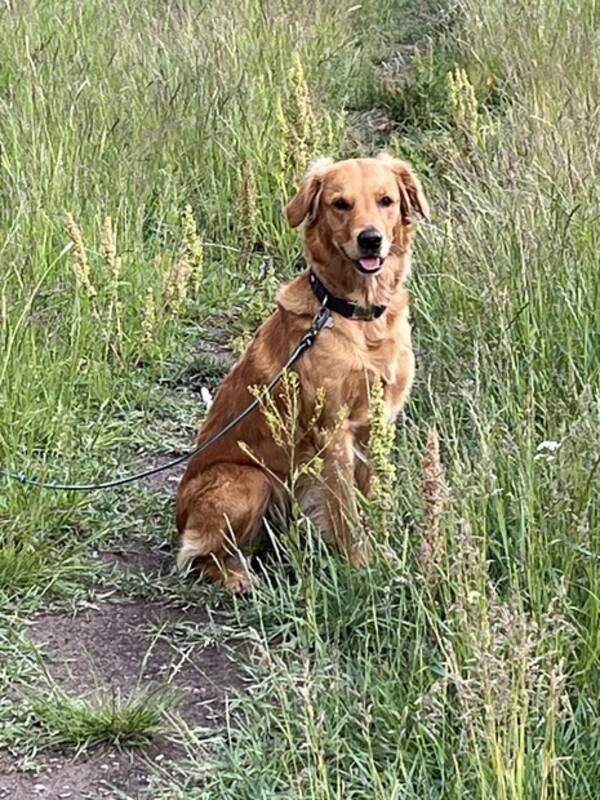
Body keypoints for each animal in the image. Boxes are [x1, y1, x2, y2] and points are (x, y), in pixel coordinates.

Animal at [176, 153, 428, 592]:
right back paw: (236, 577)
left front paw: (386, 555)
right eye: (340, 204)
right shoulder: (333, 431)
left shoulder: (380, 423)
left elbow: (375, 499)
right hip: (249, 482)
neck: (359, 317)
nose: (370, 239)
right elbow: (347, 512)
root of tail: (177, 515)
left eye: (386, 200)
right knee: (197, 555)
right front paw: (361, 567)